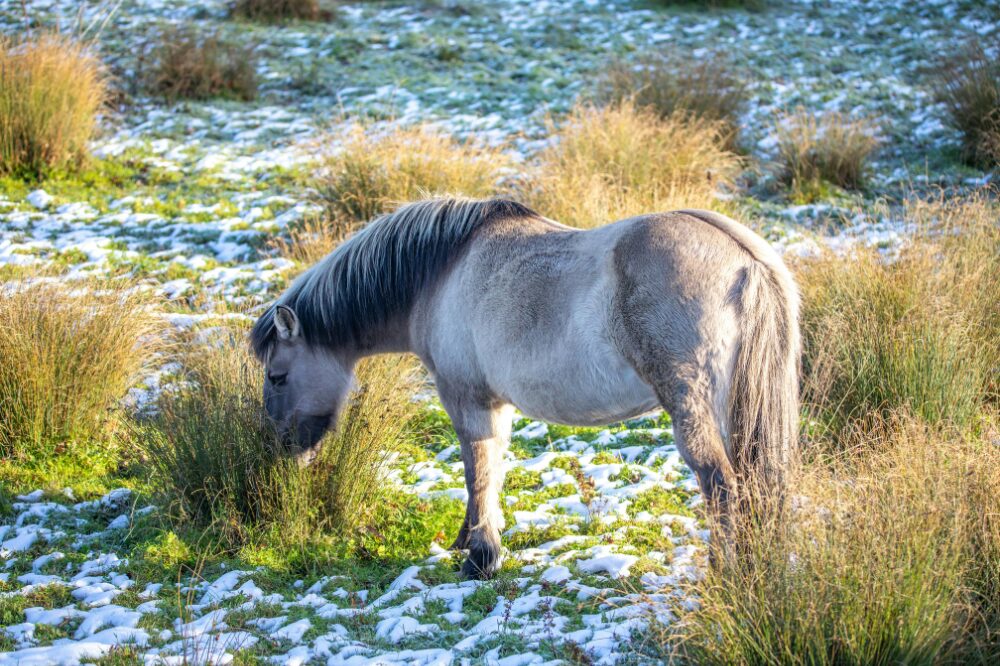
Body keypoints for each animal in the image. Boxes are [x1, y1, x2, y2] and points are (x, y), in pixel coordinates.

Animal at [250, 197, 800, 578]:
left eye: (277, 376)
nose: (284, 452)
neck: (441, 272)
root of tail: (746, 260)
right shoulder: (497, 404)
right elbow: (489, 472)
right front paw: (468, 541)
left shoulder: (467, 398)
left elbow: (477, 470)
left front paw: (480, 557)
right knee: (761, 485)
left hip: (693, 410)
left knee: (722, 486)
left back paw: (723, 575)